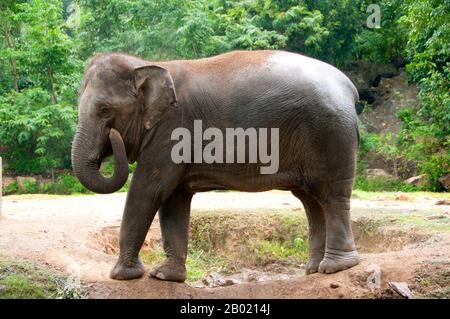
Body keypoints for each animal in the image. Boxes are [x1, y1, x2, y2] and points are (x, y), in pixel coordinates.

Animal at [73, 50, 362, 282]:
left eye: (104, 110)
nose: (112, 138)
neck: (146, 64)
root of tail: (349, 87)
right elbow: (173, 200)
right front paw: (166, 276)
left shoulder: (172, 131)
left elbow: (149, 190)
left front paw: (123, 276)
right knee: (311, 200)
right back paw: (314, 270)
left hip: (331, 133)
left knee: (331, 195)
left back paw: (335, 267)